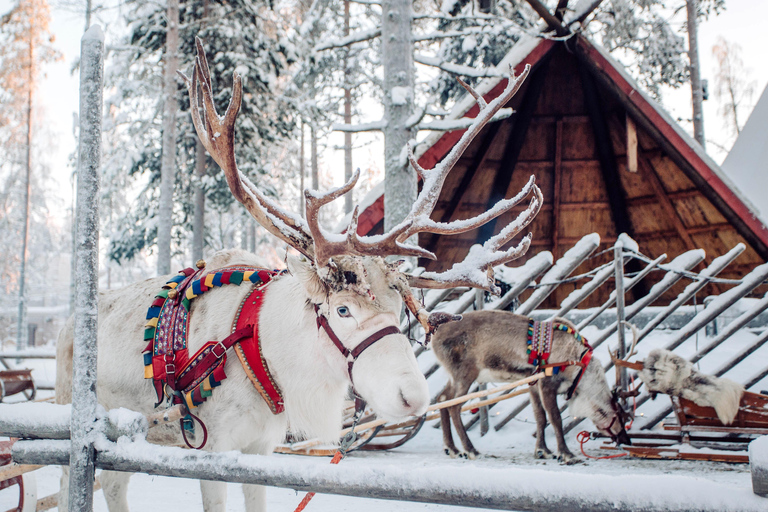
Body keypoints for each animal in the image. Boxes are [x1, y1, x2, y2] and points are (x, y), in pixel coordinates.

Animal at [54, 38, 542, 512]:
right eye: (342, 310)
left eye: (399, 311)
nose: (413, 397)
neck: (265, 351)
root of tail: (70, 325)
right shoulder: (212, 447)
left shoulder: (261, 446)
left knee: (114, 485)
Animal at [431, 310, 630, 463]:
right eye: (622, 417)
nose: (627, 440)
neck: (579, 369)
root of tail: (434, 338)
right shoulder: (547, 383)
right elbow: (555, 418)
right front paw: (566, 454)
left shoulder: (533, 384)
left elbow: (540, 417)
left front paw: (543, 451)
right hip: (465, 374)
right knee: (454, 406)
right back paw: (470, 450)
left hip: (454, 376)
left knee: (442, 398)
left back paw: (452, 448)